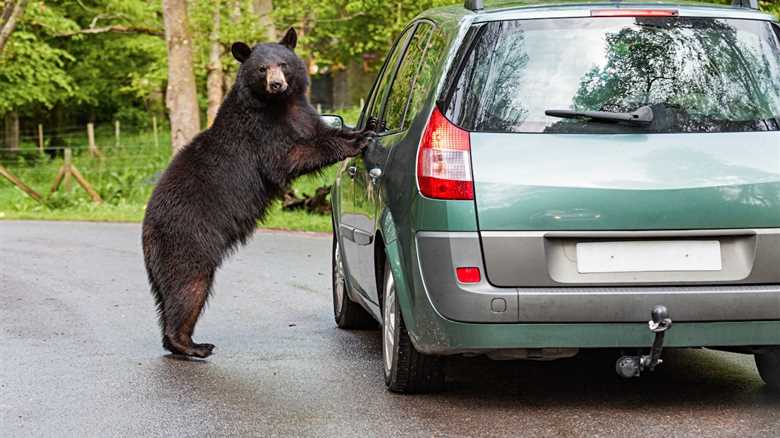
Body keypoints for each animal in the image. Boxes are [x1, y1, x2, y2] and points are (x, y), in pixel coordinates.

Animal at [142, 28, 373, 358]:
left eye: (283, 63)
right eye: (262, 69)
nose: (277, 84)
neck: (279, 105)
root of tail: (147, 229)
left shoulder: (303, 114)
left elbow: (321, 131)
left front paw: (359, 130)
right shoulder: (260, 132)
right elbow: (288, 157)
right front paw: (357, 141)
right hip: (188, 239)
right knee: (188, 286)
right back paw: (191, 344)